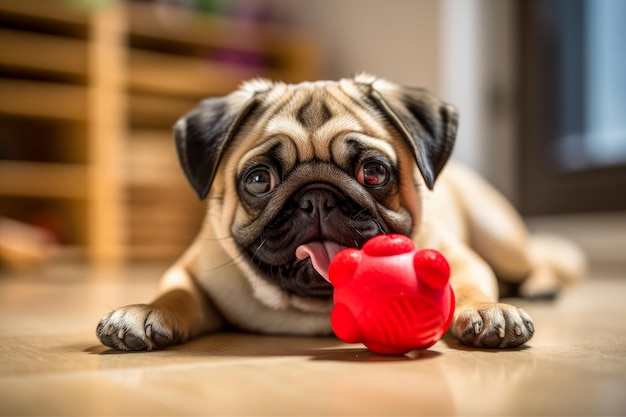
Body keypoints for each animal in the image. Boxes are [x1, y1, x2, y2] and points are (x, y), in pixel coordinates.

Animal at [95, 73, 584, 350]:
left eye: (374, 172)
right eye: (258, 180)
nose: (317, 197)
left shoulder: (461, 260)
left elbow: (467, 286)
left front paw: (486, 311)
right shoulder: (192, 272)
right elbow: (176, 294)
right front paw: (145, 312)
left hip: (500, 237)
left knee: (539, 258)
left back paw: (539, 285)